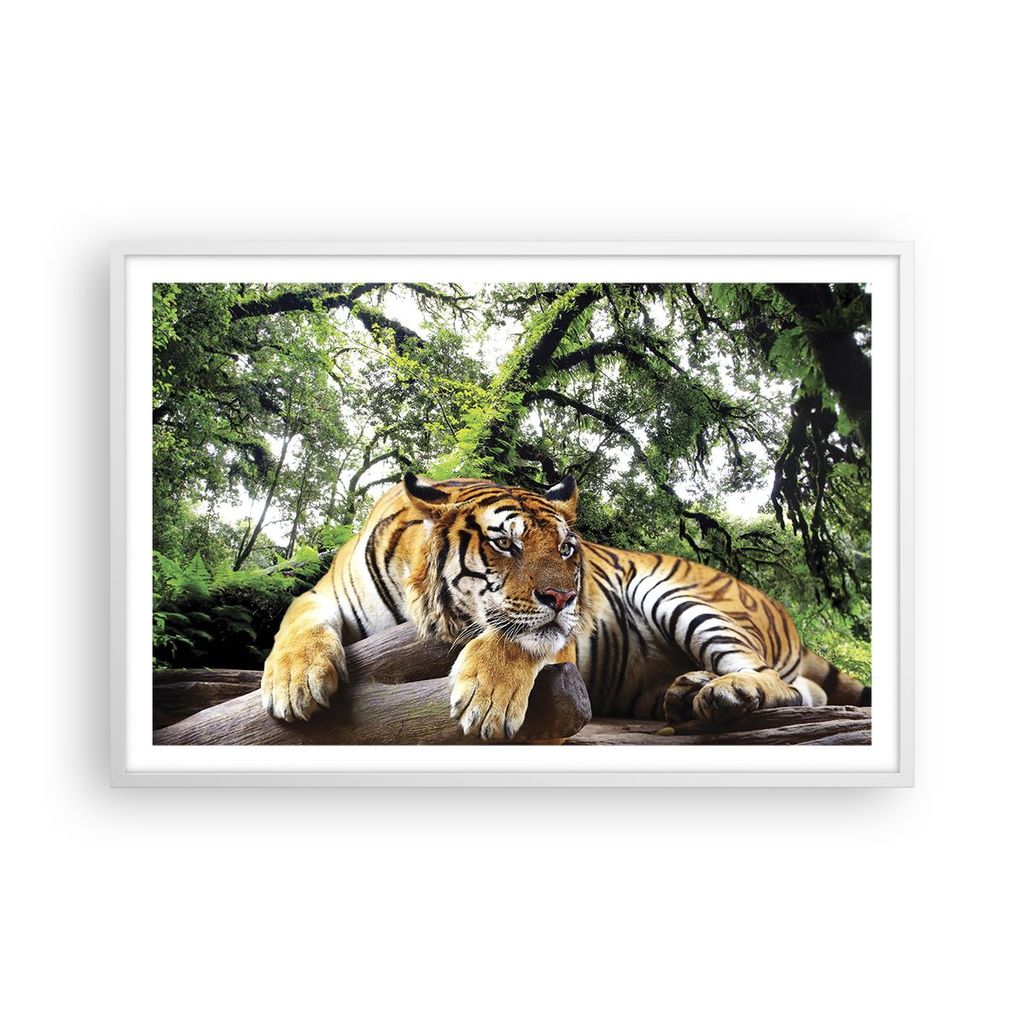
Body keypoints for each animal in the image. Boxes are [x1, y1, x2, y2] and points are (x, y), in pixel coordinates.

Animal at [261, 473, 868, 739]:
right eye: (505, 543)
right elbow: (296, 621)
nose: (565, 596)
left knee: (779, 683)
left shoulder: (557, 635)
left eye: (567, 548)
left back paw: (724, 693)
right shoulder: (321, 595)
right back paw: (687, 691)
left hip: (681, 597)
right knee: (804, 690)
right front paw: (294, 683)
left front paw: (485, 700)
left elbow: (520, 637)